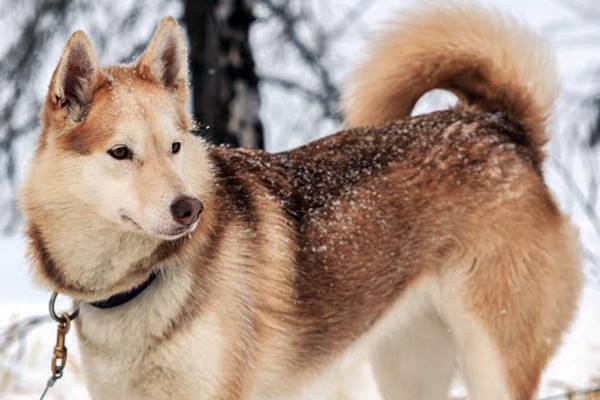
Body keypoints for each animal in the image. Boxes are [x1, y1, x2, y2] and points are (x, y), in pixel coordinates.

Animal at [22, 3, 580, 400]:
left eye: (175, 147)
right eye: (121, 152)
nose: (189, 208)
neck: (136, 283)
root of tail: (497, 126)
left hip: (493, 361)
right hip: (408, 366)